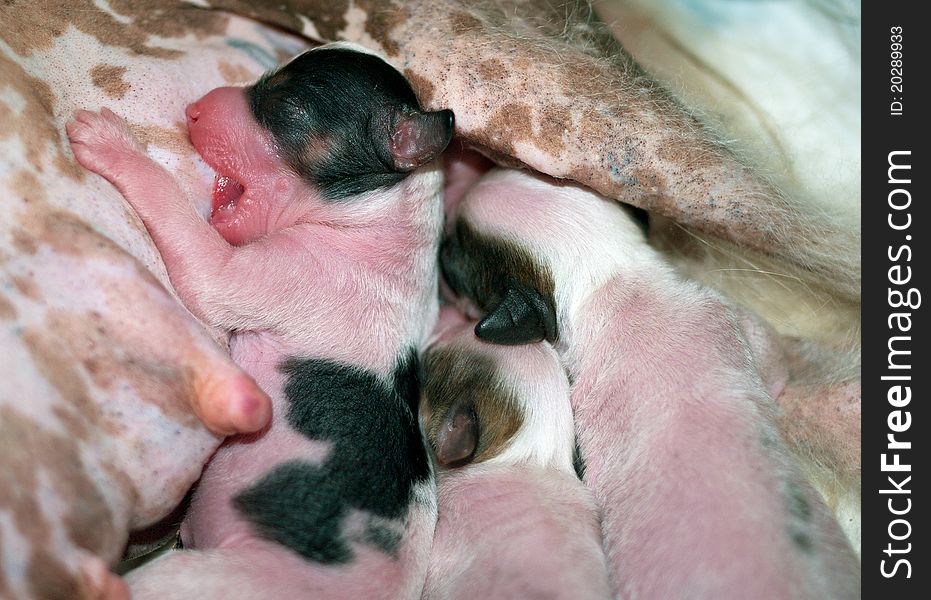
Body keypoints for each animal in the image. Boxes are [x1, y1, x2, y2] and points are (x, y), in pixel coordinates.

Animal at [67, 44, 454, 596]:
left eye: (288, 107)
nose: (194, 110)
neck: (380, 210)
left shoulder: (274, 273)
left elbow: (184, 227)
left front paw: (113, 143)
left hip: (196, 576)